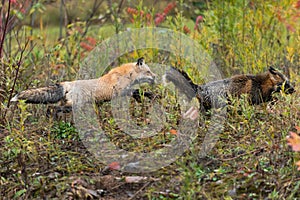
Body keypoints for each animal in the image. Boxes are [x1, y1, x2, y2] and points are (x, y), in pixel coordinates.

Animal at [10, 57, 156, 107]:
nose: (155, 77)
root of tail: (67, 83)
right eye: (148, 72)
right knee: (55, 109)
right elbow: (138, 91)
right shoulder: (120, 92)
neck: (126, 75)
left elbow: (138, 91)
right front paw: (149, 96)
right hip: (74, 105)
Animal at [164, 66, 296, 110]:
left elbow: (273, 99)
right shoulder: (255, 97)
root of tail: (199, 87)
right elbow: (273, 99)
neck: (260, 83)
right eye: (285, 83)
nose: (294, 90)